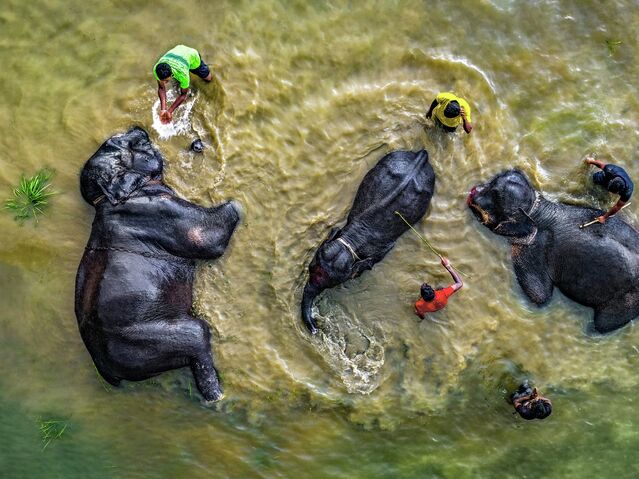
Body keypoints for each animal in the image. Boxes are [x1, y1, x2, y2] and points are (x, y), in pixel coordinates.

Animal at [73, 126, 242, 402]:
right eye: (132, 146)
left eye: (114, 141)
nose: (138, 129)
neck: (108, 199)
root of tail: (106, 369)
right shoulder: (162, 211)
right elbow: (209, 237)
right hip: (158, 337)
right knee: (198, 336)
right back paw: (217, 397)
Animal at [302, 150, 438, 334]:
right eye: (310, 268)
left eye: (330, 284)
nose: (315, 328)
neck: (351, 239)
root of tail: (421, 154)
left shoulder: (380, 250)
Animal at [468, 169, 639, 334]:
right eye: (495, 178)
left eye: (496, 194)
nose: (473, 190)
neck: (537, 209)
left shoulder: (535, 248)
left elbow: (541, 296)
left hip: (628, 299)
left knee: (602, 325)